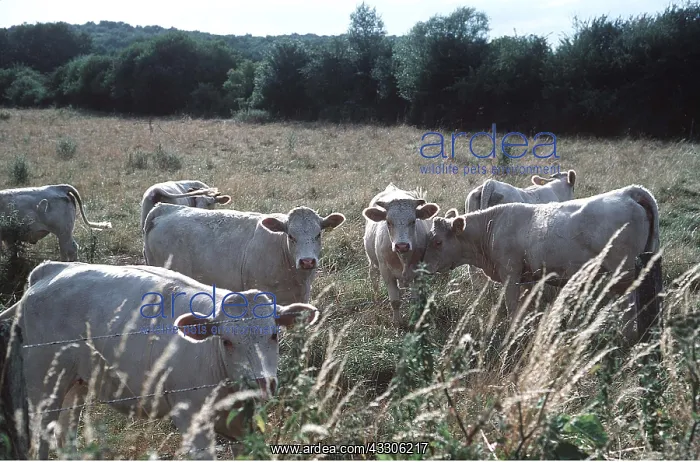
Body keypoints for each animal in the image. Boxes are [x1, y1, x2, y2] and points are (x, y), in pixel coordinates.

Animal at [0, 261, 319, 459]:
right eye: (227, 341)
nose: (261, 382)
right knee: (40, 440)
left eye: (274, 335)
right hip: (44, 386)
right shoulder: (192, 419)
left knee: (65, 435)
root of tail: (51, 270)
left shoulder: (246, 426)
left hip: (75, 384)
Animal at [362, 184, 440, 326]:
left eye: (413, 221)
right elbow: (395, 301)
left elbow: (414, 300)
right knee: (374, 279)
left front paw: (415, 319)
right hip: (373, 263)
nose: (402, 245)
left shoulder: (418, 273)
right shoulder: (386, 273)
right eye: (388, 222)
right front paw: (397, 322)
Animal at [424, 185, 660, 342]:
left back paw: (625, 336)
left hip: (623, 271)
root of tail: (629, 191)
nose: (423, 267)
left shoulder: (510, 274)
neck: (492, 226)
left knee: (630, 305)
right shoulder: (530, 278)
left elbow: (512, 307)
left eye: (437, 241)